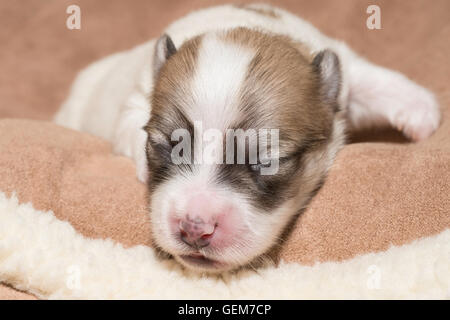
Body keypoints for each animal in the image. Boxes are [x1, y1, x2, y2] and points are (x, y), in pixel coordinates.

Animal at [55, 3, 440, 272]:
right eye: (166, 146)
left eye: (266, 161)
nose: (194, 228)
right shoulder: (137, 97)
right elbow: (130, 123)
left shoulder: (342, 69)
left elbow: (368, 78)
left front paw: (422, 112)